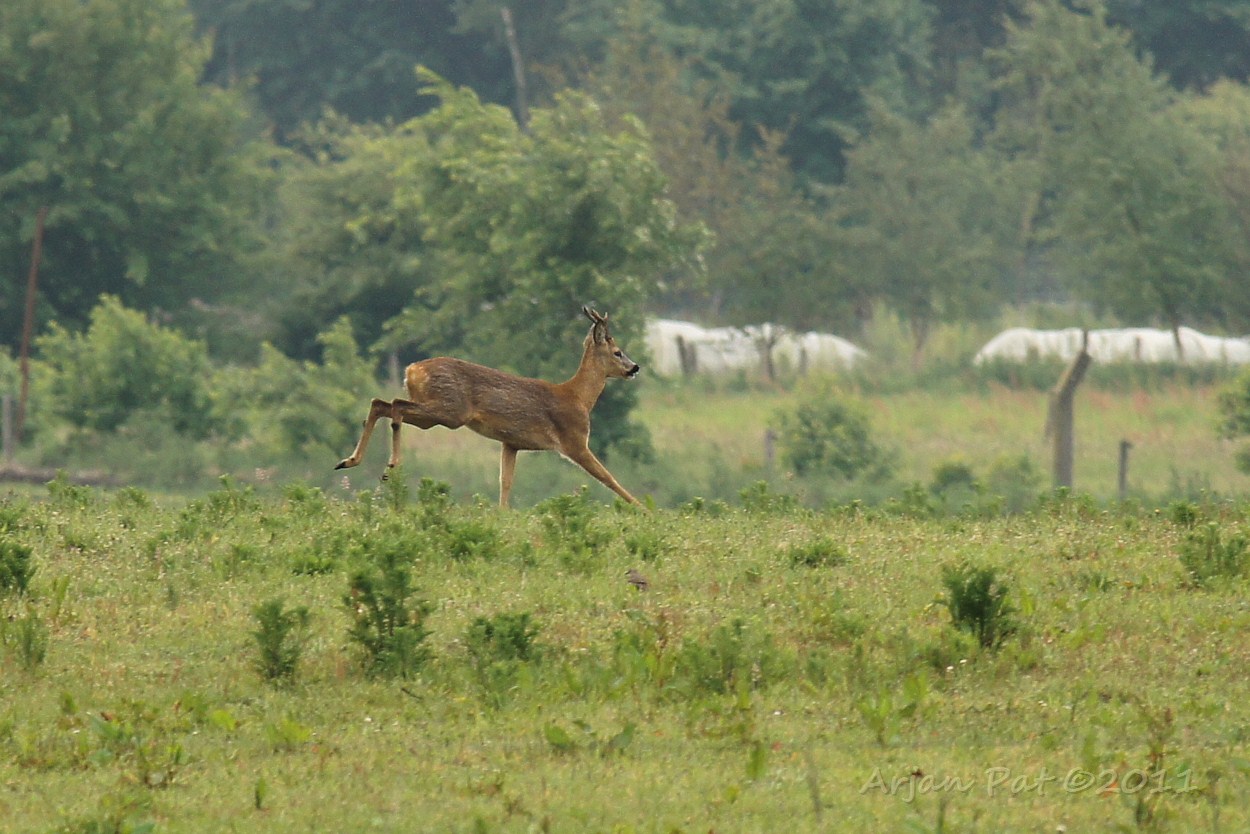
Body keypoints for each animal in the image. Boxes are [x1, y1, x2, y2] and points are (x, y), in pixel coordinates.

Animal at [335, 306, 644, 507]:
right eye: (618, 352)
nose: (635, 367)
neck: (578, 397)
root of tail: (411, 370)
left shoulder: (511, 443)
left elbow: (505, 482)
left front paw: (502, 516)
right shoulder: (574, 440)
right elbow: (609, 478)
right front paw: (643, 511)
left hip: (437, 411)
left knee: (380, 403)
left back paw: (349, 461)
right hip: (450, 411)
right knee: (395, 406)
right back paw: (390, 465)